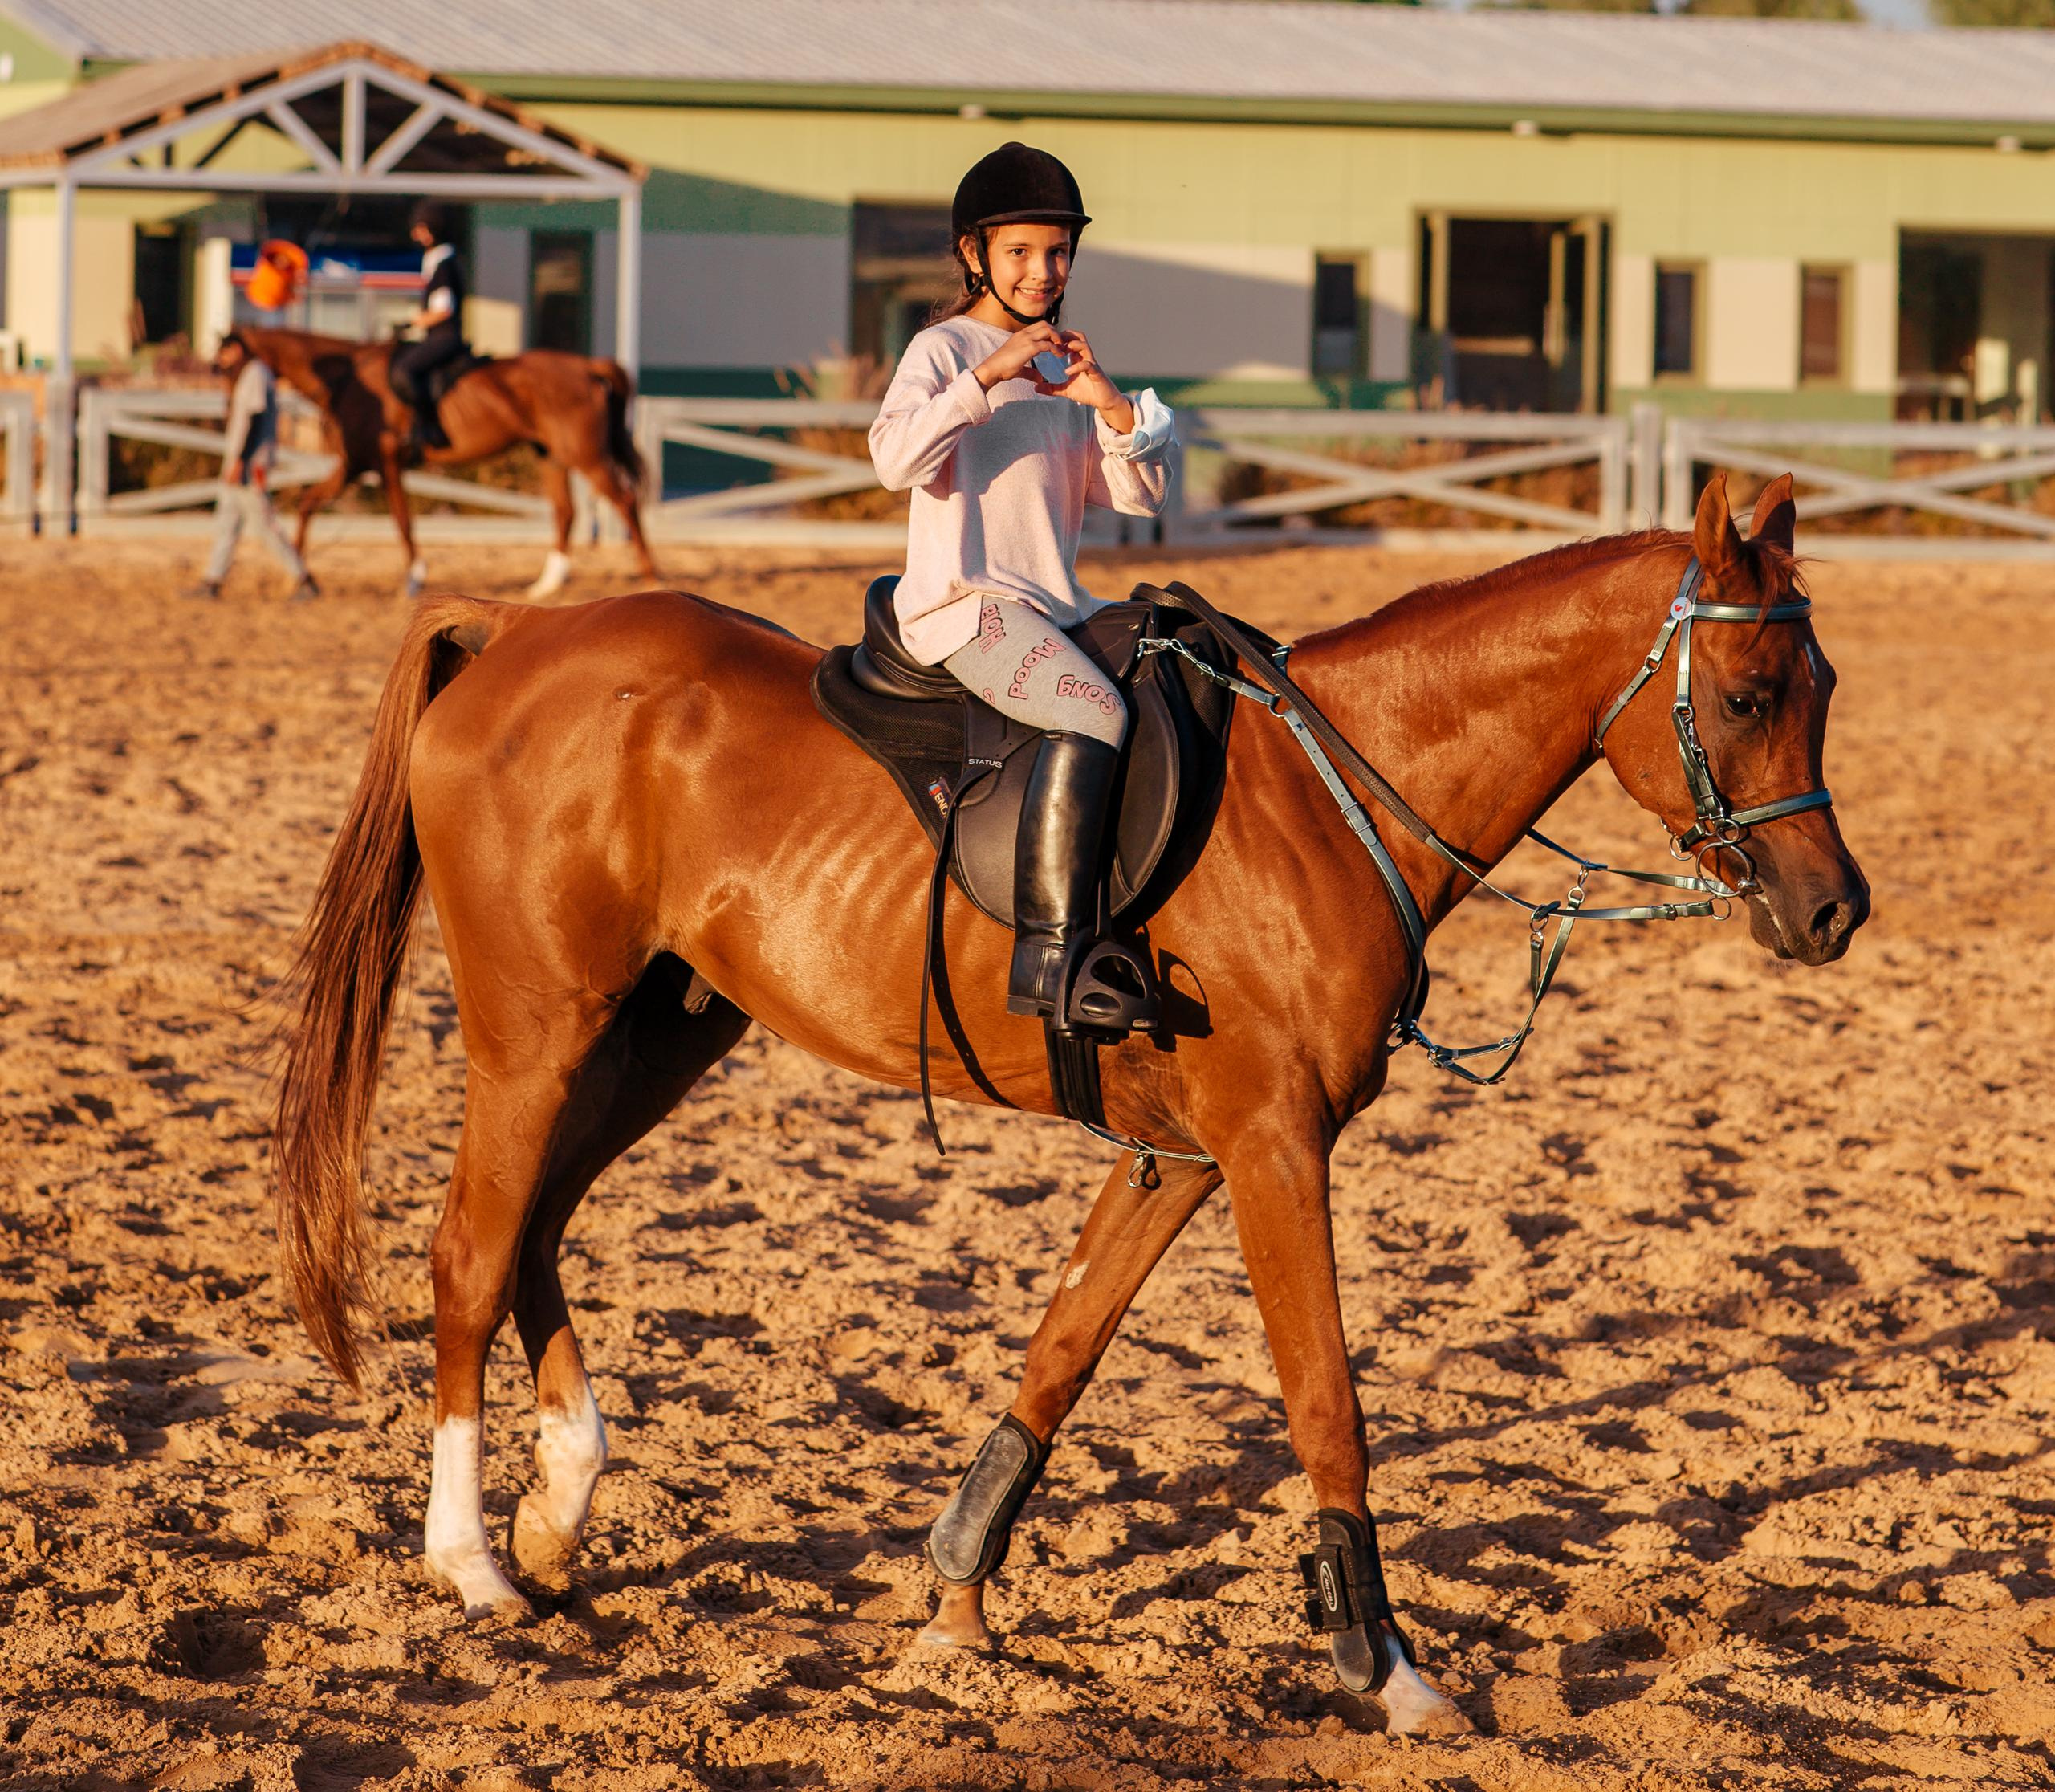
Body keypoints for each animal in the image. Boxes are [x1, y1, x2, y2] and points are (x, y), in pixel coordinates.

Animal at [227, 326, 659, 602]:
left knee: (625, 501)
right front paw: (298, 580)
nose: (232, 410)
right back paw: (546, 585)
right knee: (566, 512)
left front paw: (414, 579)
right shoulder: (353, 466)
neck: (350, 381)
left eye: (227, 364)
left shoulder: (385, 463)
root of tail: (586, 366)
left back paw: (650, 577)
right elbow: (307, 505)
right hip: (552, 458)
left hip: (586, 456)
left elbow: (403, 521)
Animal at [267, 472, 1868, 1735]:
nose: (1832, 910)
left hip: (658, 1034)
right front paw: (1386, 1666)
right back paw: (473, 1560)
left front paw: (955, 1600)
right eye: (1744, 697)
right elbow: (1328, 1402)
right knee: (473, 1249)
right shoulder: (1274, 1145)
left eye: (1825, 694)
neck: (1328, 796)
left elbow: (1062, 1352)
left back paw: (562, 1499)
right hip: (537, 1036)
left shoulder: (1180, 1156)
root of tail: (518, 634)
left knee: (535, 1224)